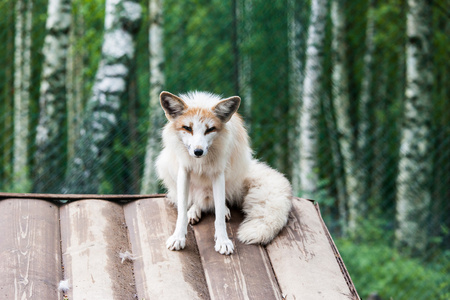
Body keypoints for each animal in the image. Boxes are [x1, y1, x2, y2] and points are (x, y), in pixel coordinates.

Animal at [156, 90, 294, 254]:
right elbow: (182, 212)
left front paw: (222, 240)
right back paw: (194, 210)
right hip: (167, 167)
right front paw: (178, 237)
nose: (198, 151)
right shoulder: (184, 170)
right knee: (194, 200)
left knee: (220, 201)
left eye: (210, 129)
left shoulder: (218, 174)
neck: (200, 163)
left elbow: (219, 214)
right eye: (187, 128)